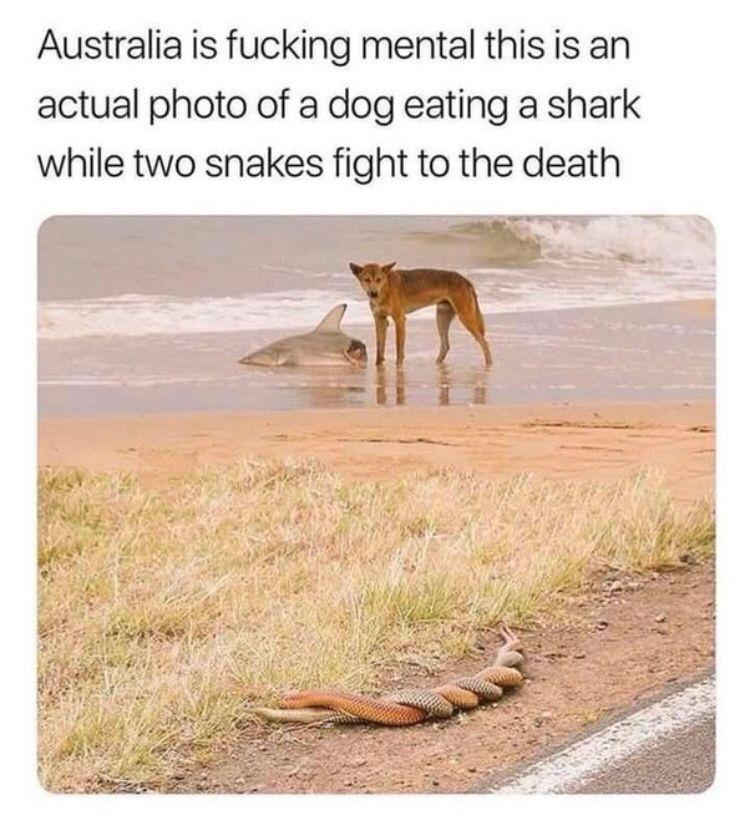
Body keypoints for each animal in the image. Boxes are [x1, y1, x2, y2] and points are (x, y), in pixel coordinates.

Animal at [352, 260, 494, 364]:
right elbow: (379, 351)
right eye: (366, 279)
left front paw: (399, 367)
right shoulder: (380, 321)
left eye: (379, 279)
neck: (385, 290)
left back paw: (489, 365)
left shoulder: (399, 319)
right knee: (445, 345)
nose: (373, 293)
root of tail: (466, 280)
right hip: (441, 318)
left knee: (485, 343)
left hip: (465, 317)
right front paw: (378, 365)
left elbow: (399, 351)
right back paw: (437, 363)